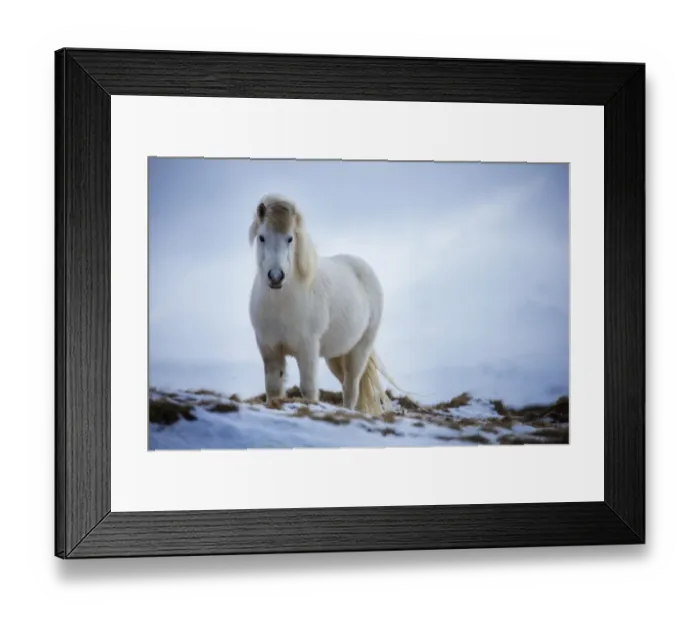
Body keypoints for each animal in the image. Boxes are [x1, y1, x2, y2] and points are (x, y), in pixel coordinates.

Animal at [247, 194, 396, 415]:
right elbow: (273, 388)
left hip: (359, 350)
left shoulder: (307, 349)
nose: (275, 277)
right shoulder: (269, 349)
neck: (282, 303)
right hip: (335, 355)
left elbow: (309, 390)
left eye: (290, 238)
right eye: (262, 237)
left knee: (351, 388)